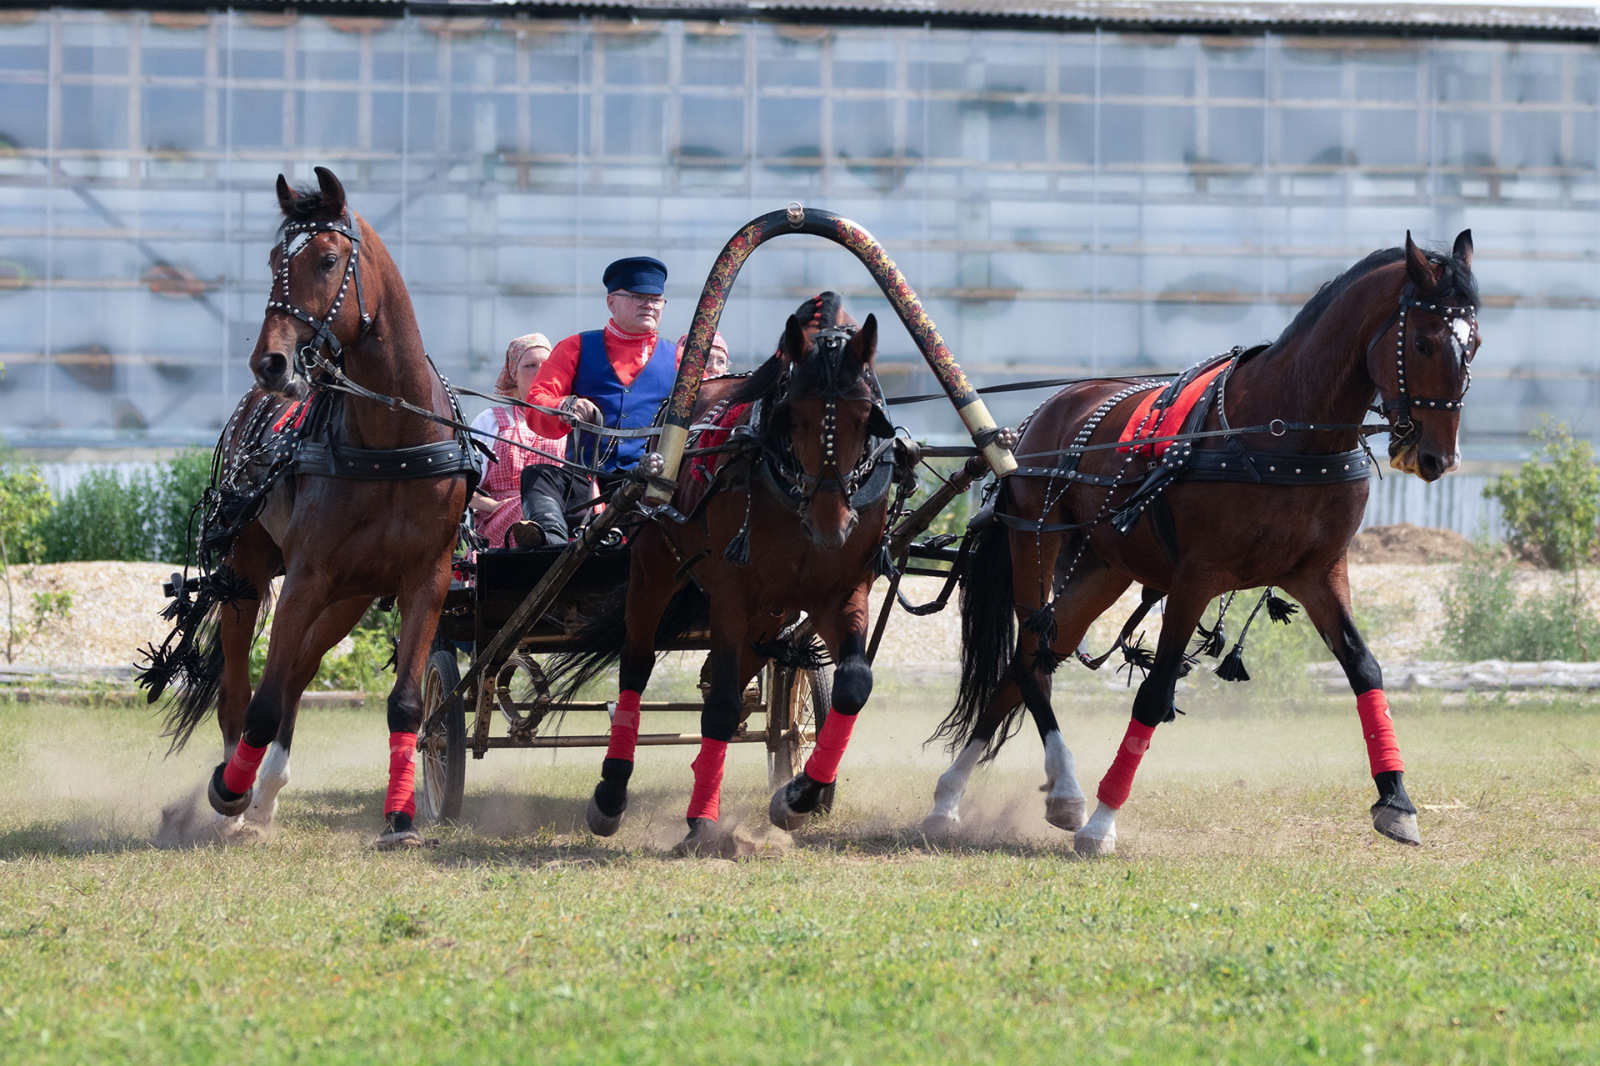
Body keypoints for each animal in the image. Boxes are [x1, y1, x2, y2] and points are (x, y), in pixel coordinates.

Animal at [144, 167, 474, 847]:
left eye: (326, 259)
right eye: (275, 261)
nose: (270, 361)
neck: (389, 441)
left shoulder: (424, 579)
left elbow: (405, 702)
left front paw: (400, 817)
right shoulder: (305, 575)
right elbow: (262, 701)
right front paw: (229, 791)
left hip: (350, 595)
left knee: (297, 670)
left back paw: (266, 791)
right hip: (248, 571)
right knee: (242, 689)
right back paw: (238, 791)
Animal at [549, 297, 901, 852]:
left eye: (865, 413)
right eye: (794, 415)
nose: (832, 522)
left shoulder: (841, 592)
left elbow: (852, 685)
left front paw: (798, 796)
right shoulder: (732, 594)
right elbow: (717, 705)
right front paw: (702, 822)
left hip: (770, 612)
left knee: (732, 683)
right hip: (655, 569)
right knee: (638, 665)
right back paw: (611, 792)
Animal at [923, 231, 1479, 856]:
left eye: (1475, 343)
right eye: (1425, 343)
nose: (1438, 457)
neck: (1282, 430)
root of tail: (1034, 421)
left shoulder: (1320, 571)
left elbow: (1365, 668)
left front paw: (1396, 799)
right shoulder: (1196, 577)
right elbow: (1155, 691)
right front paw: (1103, 821)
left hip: (1101, 567)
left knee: (1027, 661)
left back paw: (952, 797)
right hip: (1035, 545)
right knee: (1030, 661)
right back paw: (1061, 790)